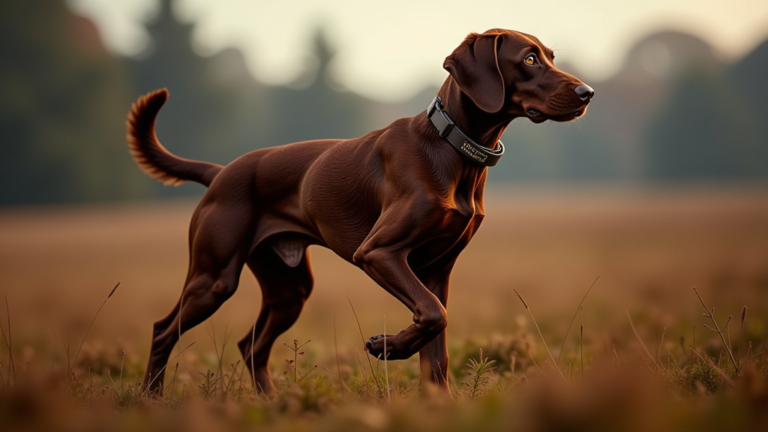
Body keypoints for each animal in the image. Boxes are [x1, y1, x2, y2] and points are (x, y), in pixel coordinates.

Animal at [126, 28, 592, 396]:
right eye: (528, 59)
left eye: (550, 56)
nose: (587, 93)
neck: (453, 148)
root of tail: (221, 172)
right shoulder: (378, 252)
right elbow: (432, 315)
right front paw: (387, 347)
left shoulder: (437, 271)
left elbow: (436, 345)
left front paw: (436, 402)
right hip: (215, 277)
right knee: (163, 330)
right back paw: (152, 400)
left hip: (289, 288)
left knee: (250, 345)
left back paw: (271, 402)